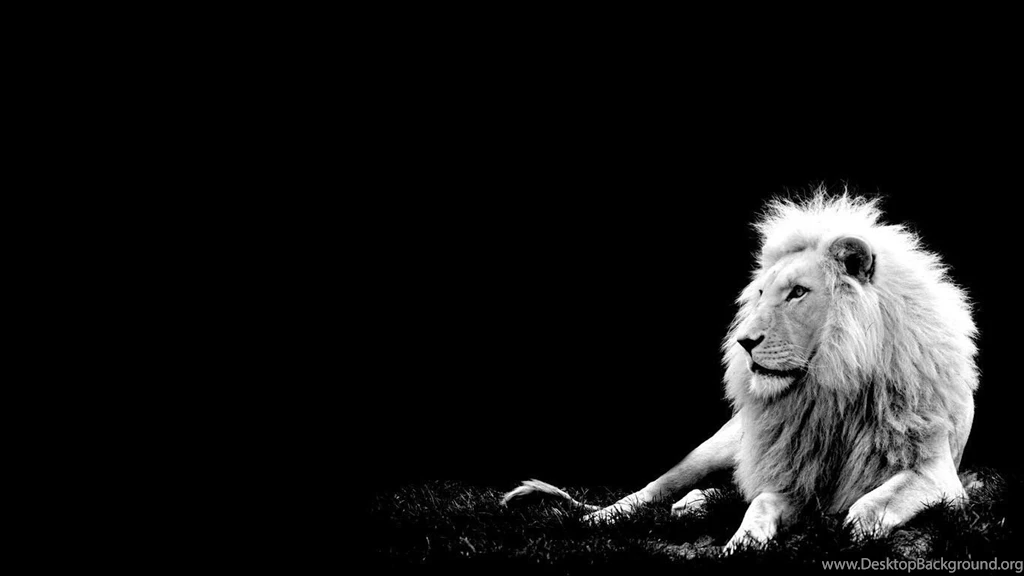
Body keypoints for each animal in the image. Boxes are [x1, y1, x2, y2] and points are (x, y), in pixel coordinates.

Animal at [503, 191, 978, 552]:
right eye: (763, 293)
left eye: (798, 293)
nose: (744, 342)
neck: (834, 387)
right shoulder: (791, 474)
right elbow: (760, 504)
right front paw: (743, 543)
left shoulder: (938, 475)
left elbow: (872, 503)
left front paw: (853, 527)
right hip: (714, 449)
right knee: (653, 490)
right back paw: (599, 520)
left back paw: (692, 505)